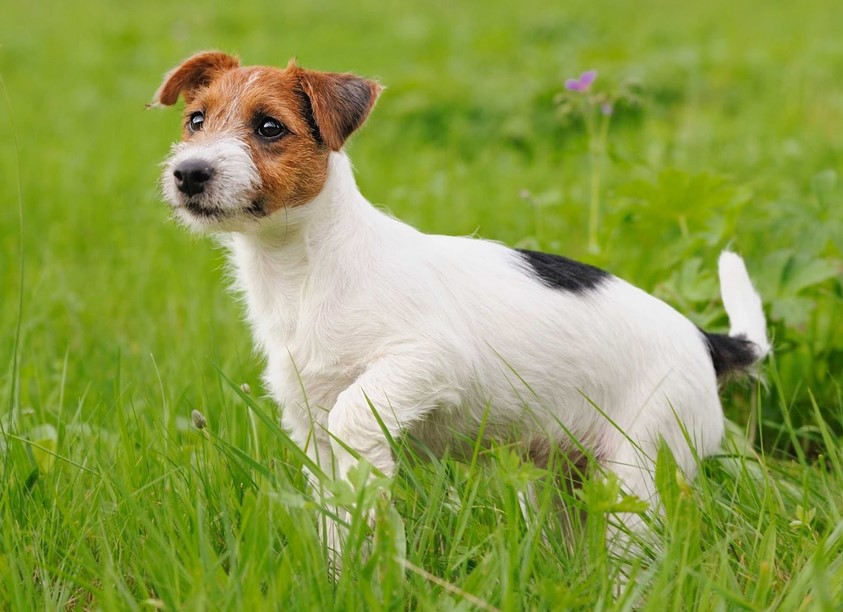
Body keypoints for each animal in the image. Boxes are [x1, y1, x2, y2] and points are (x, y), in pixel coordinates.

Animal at [152, 51, 772, 568]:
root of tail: (706, 340)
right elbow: (333, 512)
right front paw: (343, 572)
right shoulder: (310, 424)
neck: (302, 270)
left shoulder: (428, 361)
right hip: (557, 477)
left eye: (269, 127)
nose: (189, 173)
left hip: (638, 468)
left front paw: (375, 487)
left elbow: (357, 413)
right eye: (196, 121)